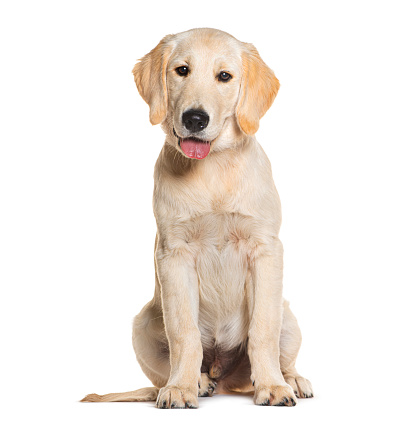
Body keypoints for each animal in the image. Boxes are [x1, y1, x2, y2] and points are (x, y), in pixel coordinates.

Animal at [80, 28, 314, 410]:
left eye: (224, 76)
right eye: (182, 70)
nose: (194, 119)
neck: (212, 168)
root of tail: (225, 375)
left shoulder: (265, 249)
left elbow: (262, 330)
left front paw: (273, 386)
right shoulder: (174, 254)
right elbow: (183, 333)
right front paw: (181, 388)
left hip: (289, 316)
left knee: (282, 351)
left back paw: (291, 379)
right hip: (142, 324)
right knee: (166, 371)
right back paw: (195, 382)